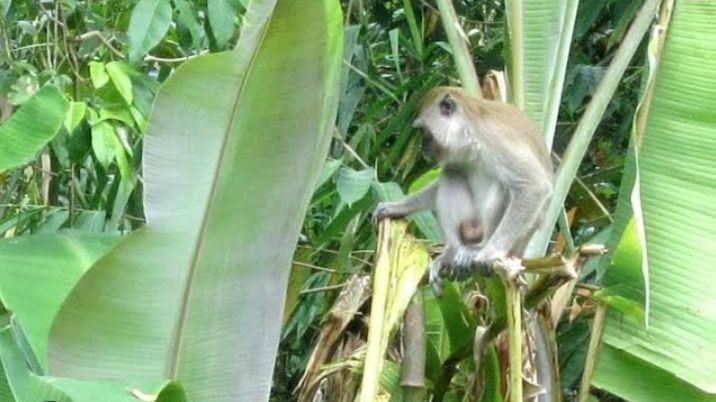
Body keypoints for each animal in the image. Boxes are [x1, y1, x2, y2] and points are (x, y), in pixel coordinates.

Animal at [374, 85, 552, 292]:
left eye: (425, 131)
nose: (423, 146)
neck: (471, 134)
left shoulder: (496, 139)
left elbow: (534, 186)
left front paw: (490, 252)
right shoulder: (458, 151)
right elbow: (445, 177)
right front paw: (396, 207)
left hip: (515, 239)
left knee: (503, 186)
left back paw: (480, 248)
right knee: (452, 172)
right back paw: (451, 252)